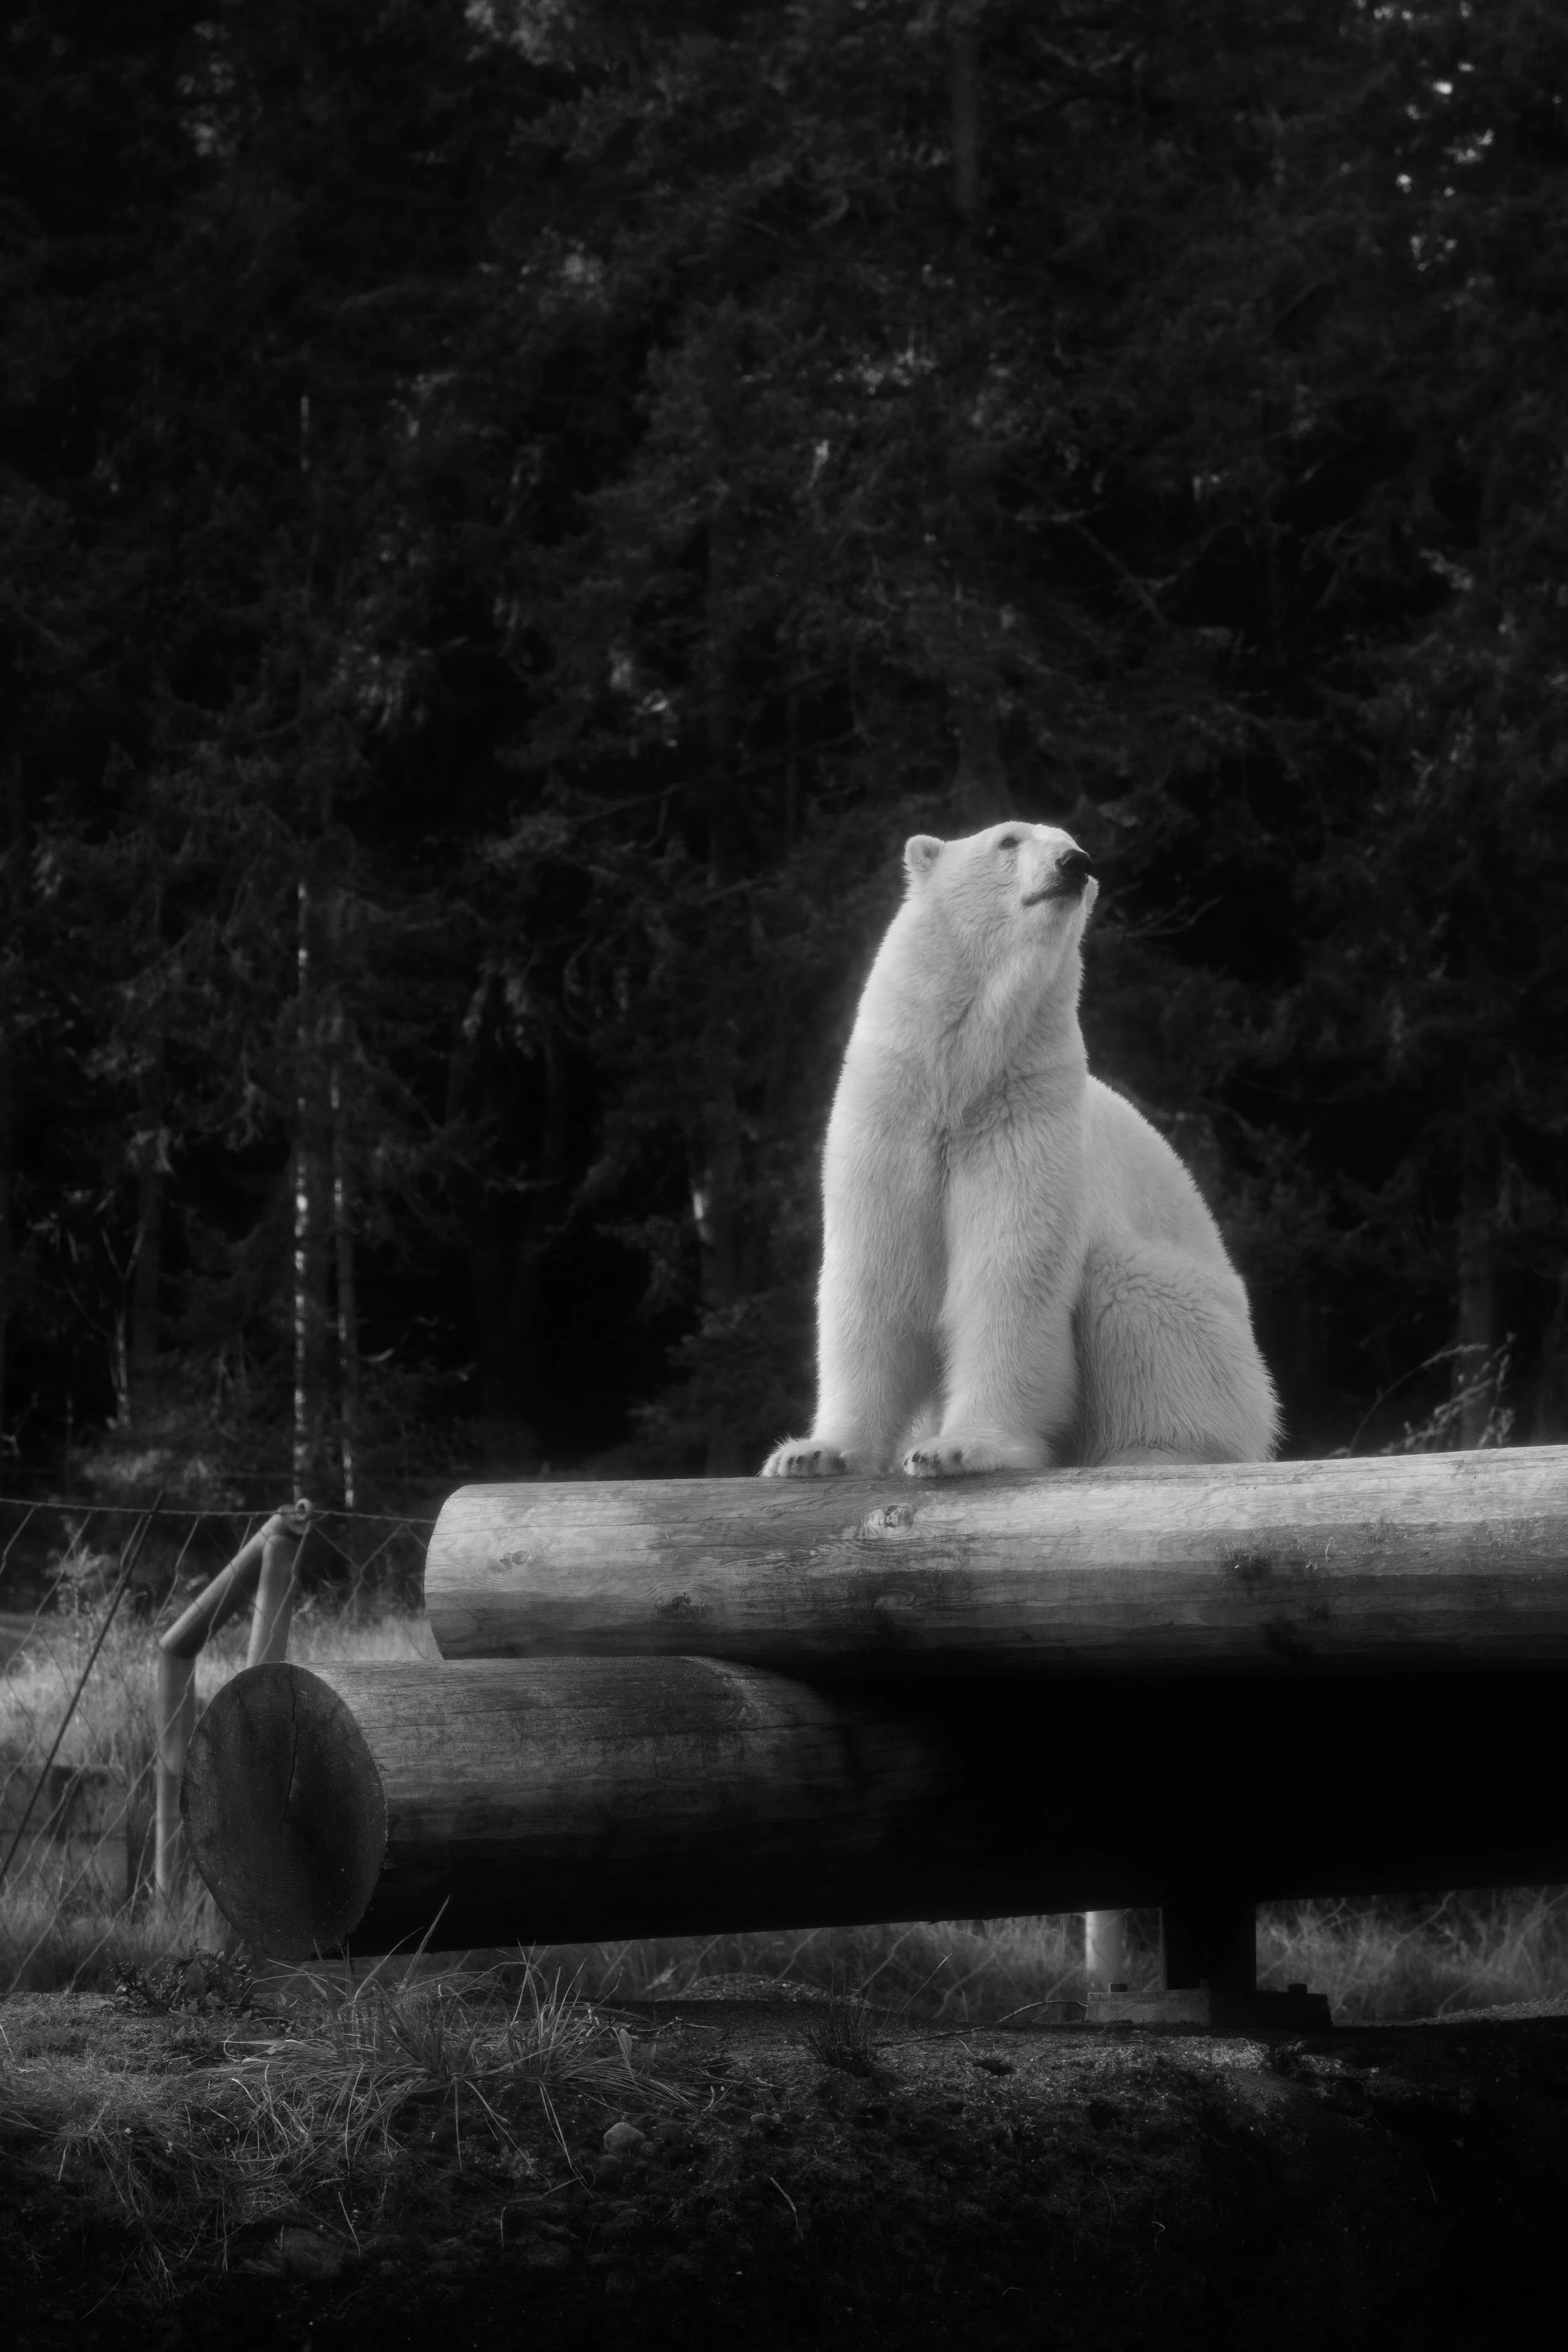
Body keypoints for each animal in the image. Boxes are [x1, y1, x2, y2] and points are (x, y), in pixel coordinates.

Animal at [761, 820, 1279, 1478]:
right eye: (1008, 840)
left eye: (1074, 842)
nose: (1075, 864)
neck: (962, 1081)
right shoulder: (891, 1118)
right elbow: (874, 1274)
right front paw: (814, 1452)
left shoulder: (1024, 1120)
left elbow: (1009, 1273)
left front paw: (958, 1449)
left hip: (1213, 1328)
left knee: (1134, 1294)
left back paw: (1149, 1450)